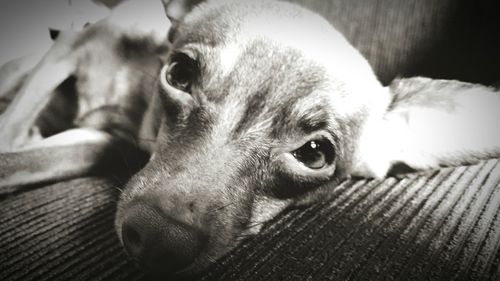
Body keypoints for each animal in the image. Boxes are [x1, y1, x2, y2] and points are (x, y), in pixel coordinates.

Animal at [0, 0, 500, 276]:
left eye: (314, 153)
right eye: (179, 74)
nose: (157, 239)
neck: (140, 96)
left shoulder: (103, 141)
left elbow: (23, 159)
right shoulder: (68, 49)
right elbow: (11, 131)